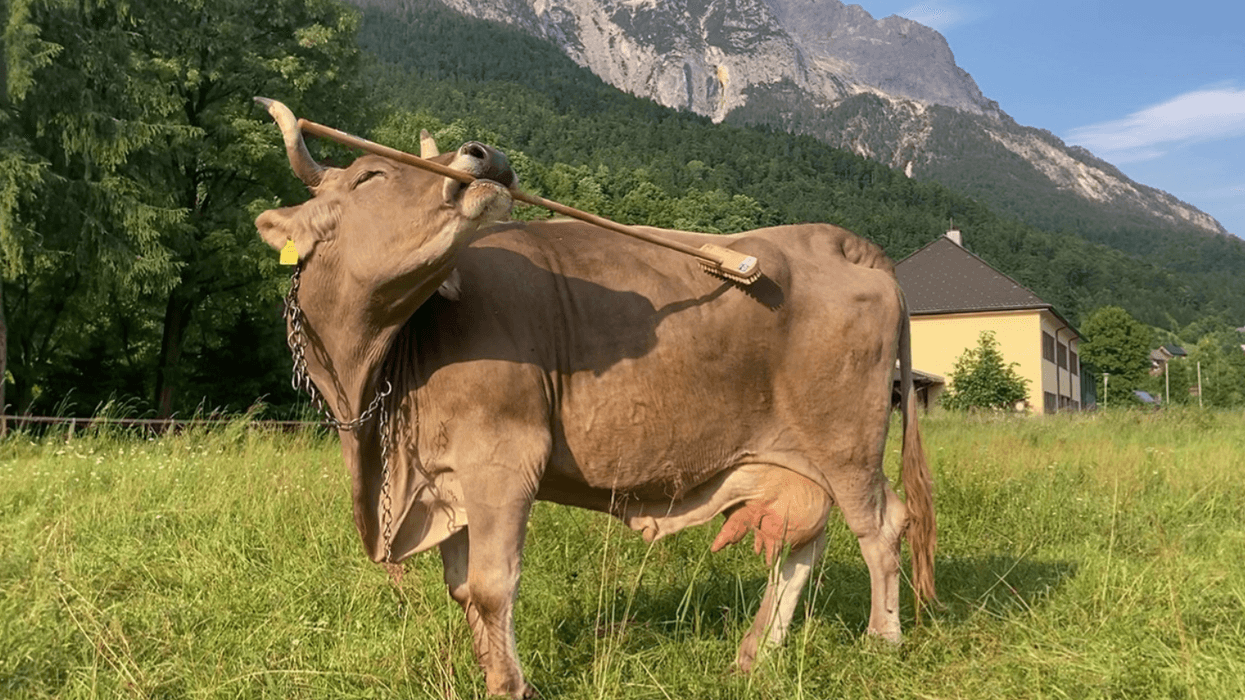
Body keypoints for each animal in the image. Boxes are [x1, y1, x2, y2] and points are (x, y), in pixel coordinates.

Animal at [254, 98, 935, 699]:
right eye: (369, 175)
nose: (484, 154)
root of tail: (835, 240)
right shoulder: (443, 478)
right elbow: (462, 588)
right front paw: (489, 673)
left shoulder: (502, 458)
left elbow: (492, 586)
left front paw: (510, 687)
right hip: (799, 456)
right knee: (805, 538)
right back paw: (755, 653)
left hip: (846, 443)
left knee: (880, 525)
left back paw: (881, 640)